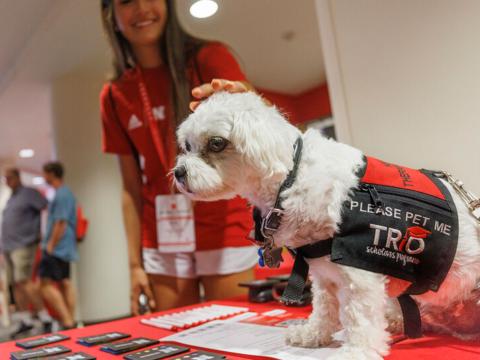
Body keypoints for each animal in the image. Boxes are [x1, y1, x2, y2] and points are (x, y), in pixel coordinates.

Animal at [173, 91, 480, 358]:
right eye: (186, 146)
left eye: (216, 142)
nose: (178, 172)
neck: (292, 178)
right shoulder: (322, 271)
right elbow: (324, 308)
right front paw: (313, 334)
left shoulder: (360, 272)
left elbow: (359, 319)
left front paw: (356, 352)